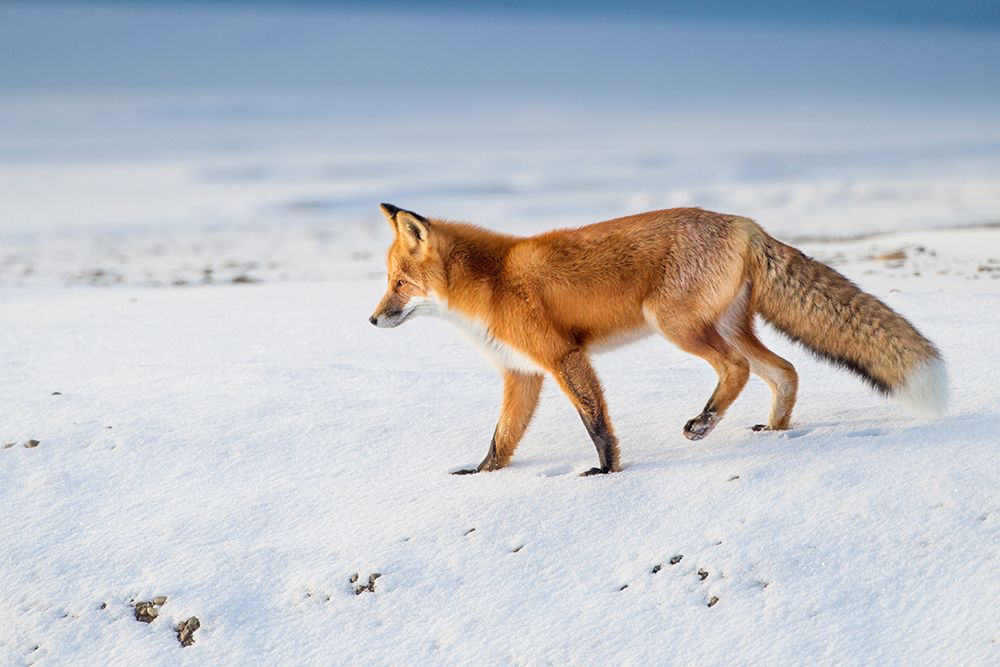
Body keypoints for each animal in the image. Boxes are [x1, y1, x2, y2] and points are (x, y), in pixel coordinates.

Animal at [369, 203, 947, 476]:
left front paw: (606, 472)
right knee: (785, 370)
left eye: (399, 283)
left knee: (736, 369)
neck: (489, 283)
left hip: (676, 324)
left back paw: (704, 423)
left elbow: (596, 423)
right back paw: (775, 430)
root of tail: (743, 222)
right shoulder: (523, 375)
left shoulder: (563, 357)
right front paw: (481, 474)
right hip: (728, 326)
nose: (372, 321)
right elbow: (502, 439)